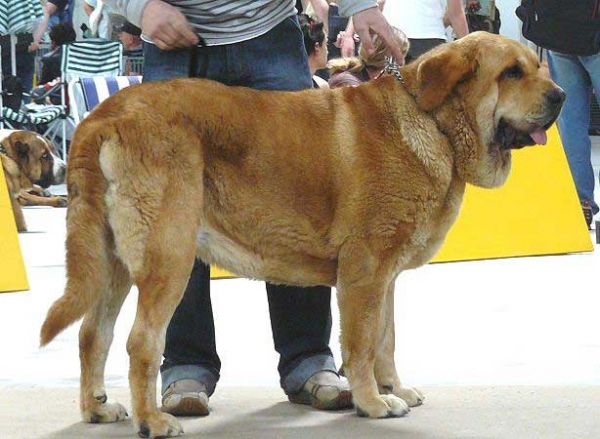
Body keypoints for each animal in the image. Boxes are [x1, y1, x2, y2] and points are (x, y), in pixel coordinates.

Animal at [39, 32, 564, 438]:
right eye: (511, 73)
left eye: (536, 66)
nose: (560, 96)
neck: (431, 121)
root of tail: (102, 116)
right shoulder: (364, 271)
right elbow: (361, 343)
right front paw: (373, 403)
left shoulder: (386, 277)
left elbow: (387, 339)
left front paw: (395, 389)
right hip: (169, 256)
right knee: (141, 342)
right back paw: (153, 419)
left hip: (112, 262)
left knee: (92, 333)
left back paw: (97, 408)